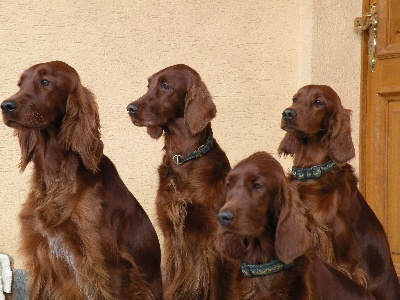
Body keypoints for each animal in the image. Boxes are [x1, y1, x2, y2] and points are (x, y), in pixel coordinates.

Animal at [0, 61, 162, 300]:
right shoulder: (42, 259)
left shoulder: (108, 266)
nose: (6, 105)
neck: (57, 174)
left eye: (45, 82)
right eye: (20, 84)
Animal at [127, 64, 234, 298]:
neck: (183, 159)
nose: (130, 108)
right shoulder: (170, 234)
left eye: (166, 86)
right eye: (148, 85)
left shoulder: (214, 239)